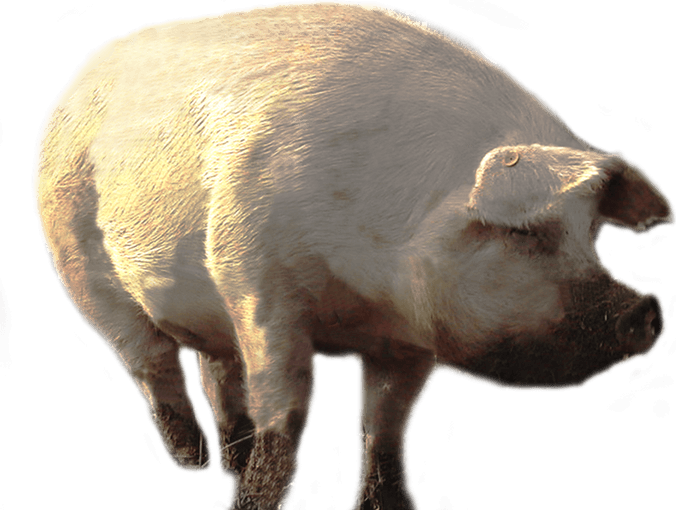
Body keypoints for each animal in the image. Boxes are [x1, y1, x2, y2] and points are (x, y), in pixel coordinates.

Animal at [33, 2, 674, 509]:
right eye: (523, 233)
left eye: (590, 233)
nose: (645, 308)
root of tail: (78, 76)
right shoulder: (257, 281)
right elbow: (288, 402)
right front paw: (253, 501)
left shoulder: (409, 340)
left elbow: (387, 421)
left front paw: (391, 505)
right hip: (77, 261)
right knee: (150, 359)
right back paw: (193, 461)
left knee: (217, 368)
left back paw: (230, 458)